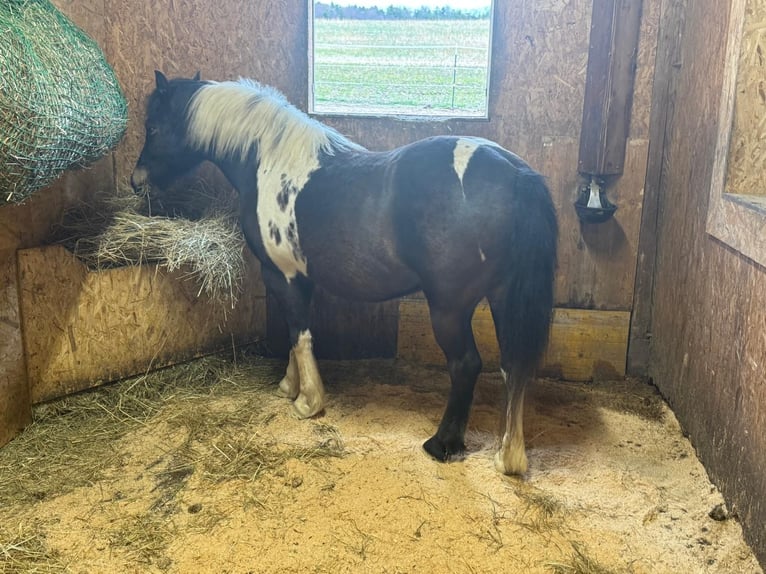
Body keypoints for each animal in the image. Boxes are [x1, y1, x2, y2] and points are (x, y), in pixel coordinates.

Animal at [130, 71, 558, 476]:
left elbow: (298, 334)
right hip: (503, 299)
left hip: (449, 307)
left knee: (467, 365)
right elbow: (295, 334)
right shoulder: (300, 278)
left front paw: (307, 402)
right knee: (513, 365)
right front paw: (289, 386)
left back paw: (442, 444)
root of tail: (515, 173)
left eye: (153, 126)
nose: (137, 181)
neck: (268, 162)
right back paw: (508, 456)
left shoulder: (281, 275)